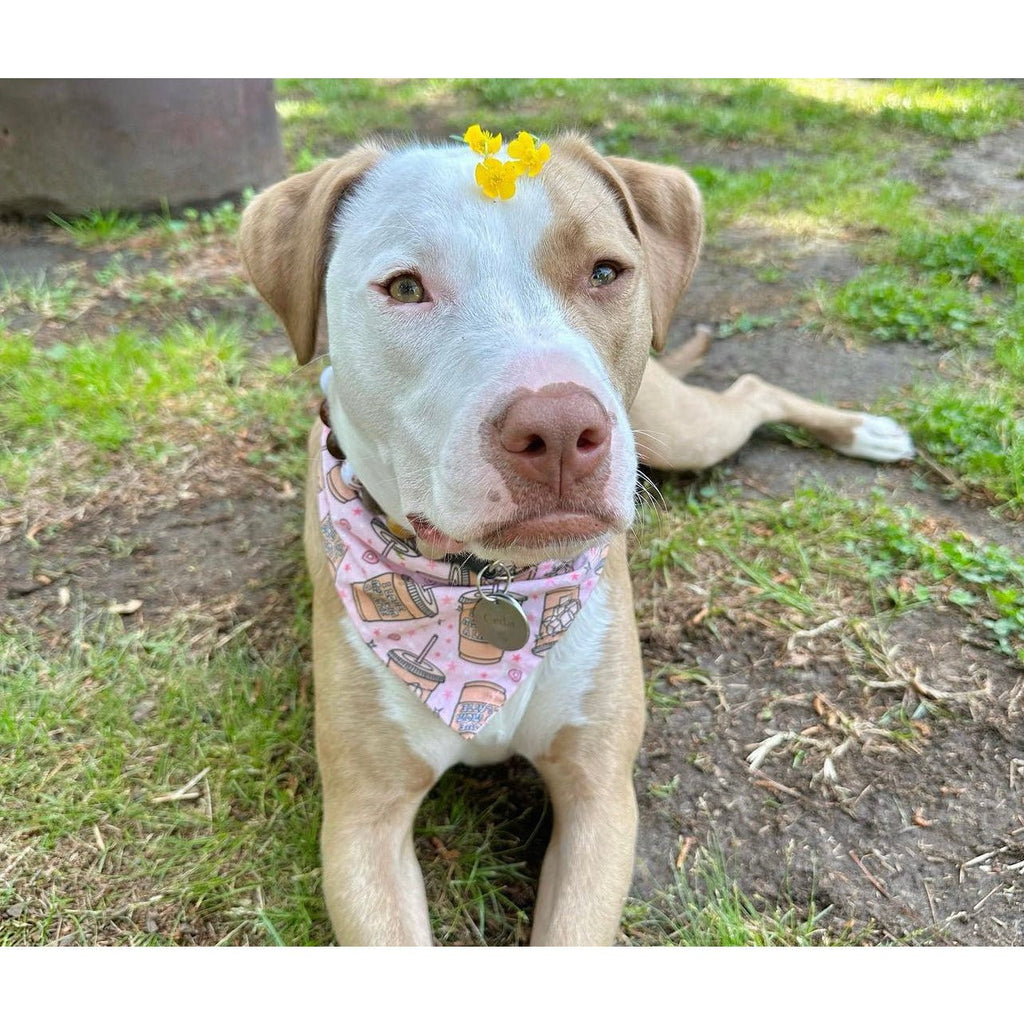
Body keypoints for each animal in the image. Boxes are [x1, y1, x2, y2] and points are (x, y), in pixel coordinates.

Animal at [237, 134, 913, 942]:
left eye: (605, 272)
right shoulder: (361, 825)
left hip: (681, 427)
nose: (559, 428)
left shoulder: (601, 797)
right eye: (404, 287)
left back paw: (863, 431)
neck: (489, 582)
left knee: (751, 391)